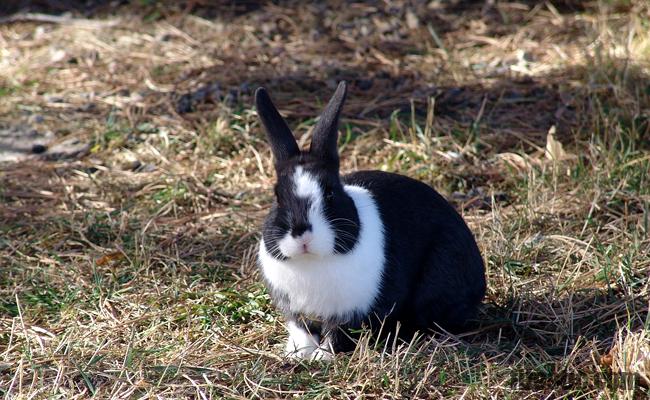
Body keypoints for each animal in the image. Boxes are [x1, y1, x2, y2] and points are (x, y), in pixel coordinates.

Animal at [256, 81, 484, 360]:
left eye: (330, 193)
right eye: (277, 196)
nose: (303, 236)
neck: (313, 261)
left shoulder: (352, 313)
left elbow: (338, 335)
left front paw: (322, 358)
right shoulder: (295, 310)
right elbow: (302, 330)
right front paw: (298, 355)